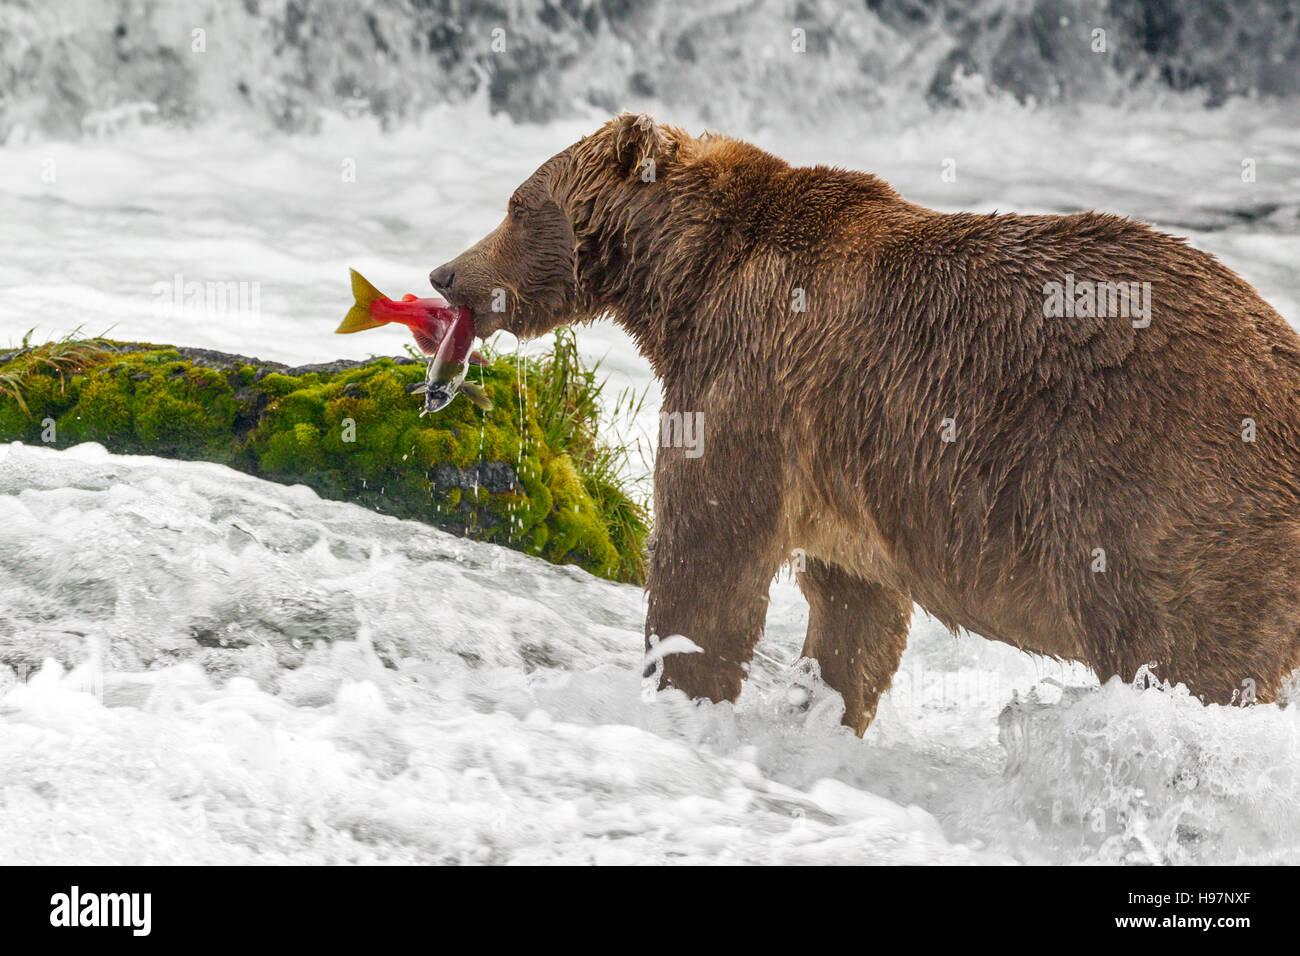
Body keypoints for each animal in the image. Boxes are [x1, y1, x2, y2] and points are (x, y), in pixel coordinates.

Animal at [431, 110, 1300, 733]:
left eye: (516, 205)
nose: (444, 272)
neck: (683, 280)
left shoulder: (753, 380)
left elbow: (708, 556)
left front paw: (680, 687)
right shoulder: (848, 469)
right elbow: (854, 612)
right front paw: (819, 713)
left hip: (1162, 489)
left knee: (1181, 650)